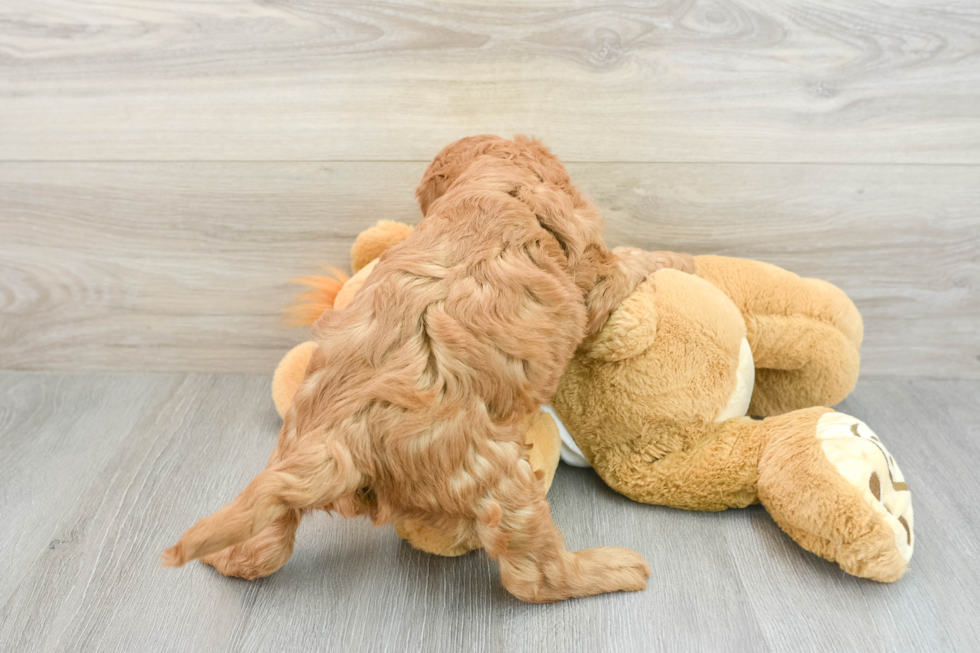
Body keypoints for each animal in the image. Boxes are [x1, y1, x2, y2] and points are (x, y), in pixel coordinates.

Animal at [163, 136, 696, 600]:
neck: (497, 183)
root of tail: (334, 437)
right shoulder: (592, 276)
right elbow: (629, 262)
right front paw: (681, 259)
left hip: (287, 448)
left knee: (265, 543)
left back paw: (225, 555)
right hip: (495, 475)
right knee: (533, 577)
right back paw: (611, 568)